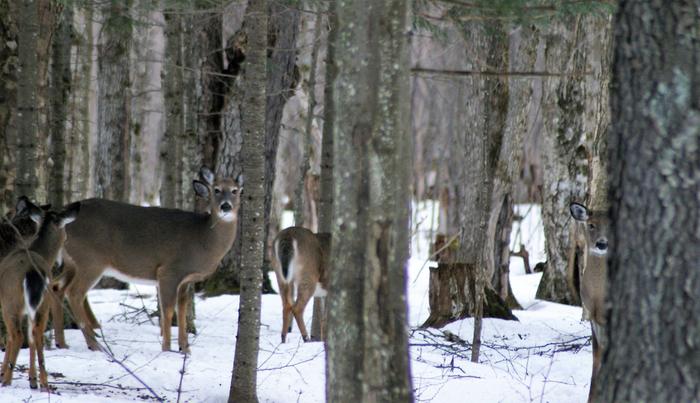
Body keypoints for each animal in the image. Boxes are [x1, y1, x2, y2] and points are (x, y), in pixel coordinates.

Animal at [0, 203, 79, 389]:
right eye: (65, 237)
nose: (61, 263)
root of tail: (32, 271)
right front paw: (32, 378)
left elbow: (9, 338)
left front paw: (3, 373)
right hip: (45, 304)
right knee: (36, 334)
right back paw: (42, 382)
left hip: (11, 302)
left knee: (17, 336)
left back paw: (7, 379)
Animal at [50, 167, 242, 354]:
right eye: (216, 190)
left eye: (235, 190)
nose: (226, 206)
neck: (203, 239)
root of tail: (63, 221)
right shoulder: (169, 271)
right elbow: (168, 311)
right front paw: (167, 349)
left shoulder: (186, 280)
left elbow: (181, 312)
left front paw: (185, 349)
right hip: (90, 260)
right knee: (74, 293)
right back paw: (95, 345)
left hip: (72, 262)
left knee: (56, 286)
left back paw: (62, 343)